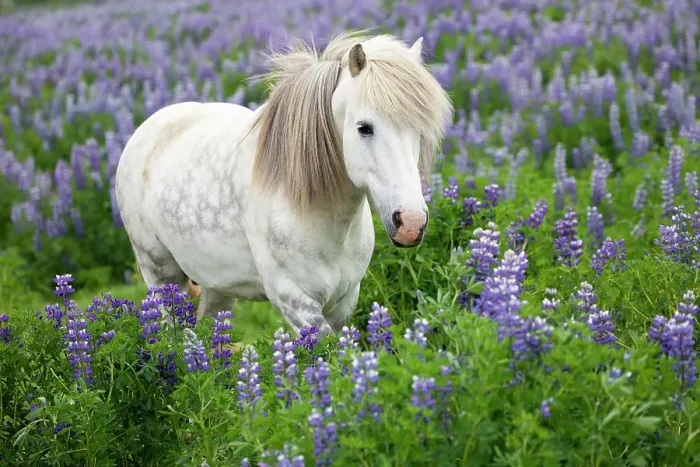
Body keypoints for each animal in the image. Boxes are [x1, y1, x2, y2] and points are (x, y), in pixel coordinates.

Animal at [114, 31, 453, 337]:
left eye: (420, 131)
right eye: (364, 127)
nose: (411, 223)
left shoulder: (344, 301)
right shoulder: (296, 301)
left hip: (217, 285)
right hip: (161, 276)